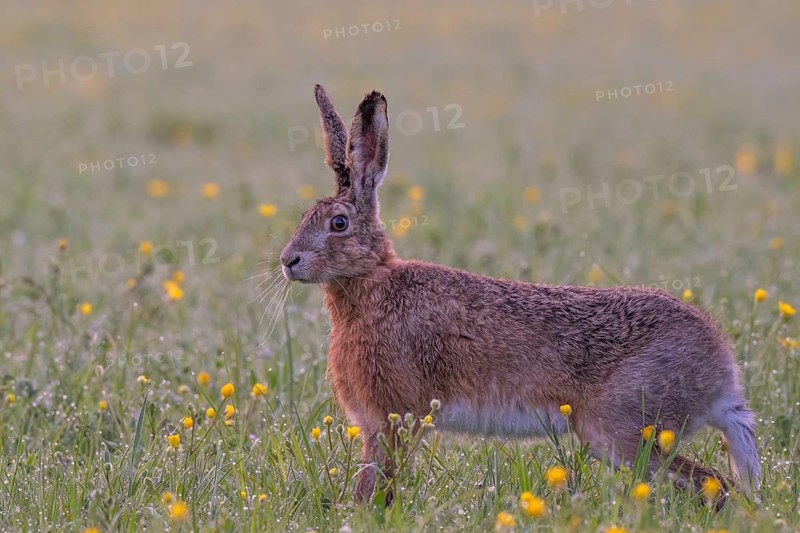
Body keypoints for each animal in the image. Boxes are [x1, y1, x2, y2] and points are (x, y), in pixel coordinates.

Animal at [279, 84, 761, 504]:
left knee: (714, 484)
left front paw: (363, 512)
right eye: (303, 216)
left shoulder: (391, 417)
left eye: (338, 223)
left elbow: (376, 481)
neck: (371, 281)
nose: (288, 260)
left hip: (621, 428)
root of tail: (722, 373)